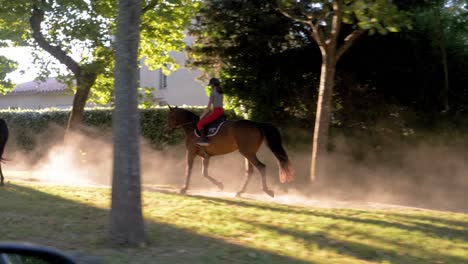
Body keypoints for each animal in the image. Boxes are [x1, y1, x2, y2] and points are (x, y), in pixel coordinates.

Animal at [166, 106, 294, 197]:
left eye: (171, 116)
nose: (168, 130)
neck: (192, 127)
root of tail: (256, 124)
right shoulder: (205, 157)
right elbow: (204, 173)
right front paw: (220, 185)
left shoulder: (191, 153)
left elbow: (189, 169)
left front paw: (184, 188)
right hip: (247, 153)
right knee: (250, 171)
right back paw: (240, 192)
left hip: (247, 153)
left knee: (261, 167)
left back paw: (266, 190)